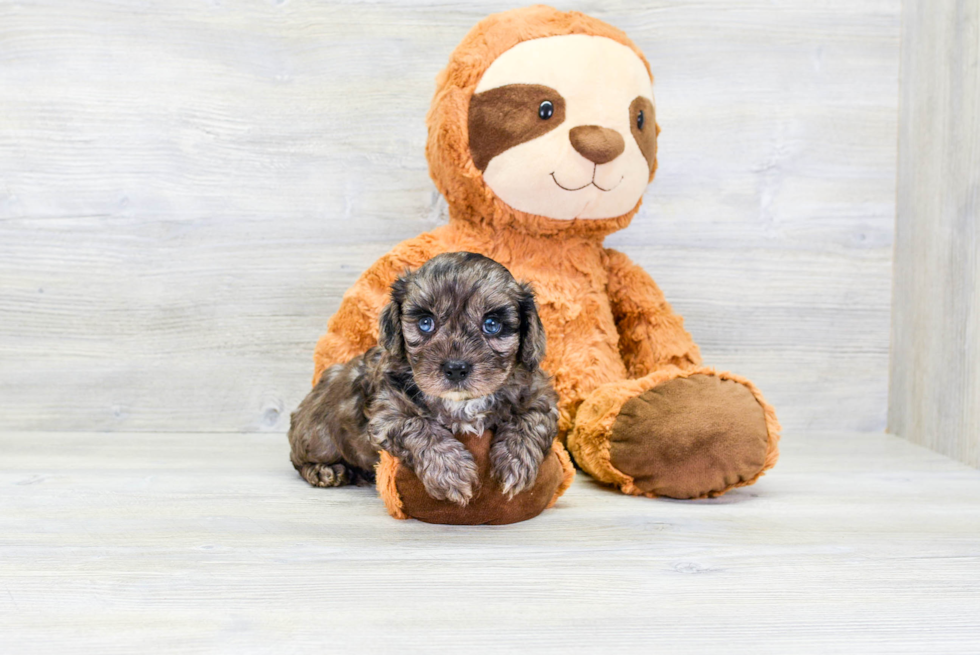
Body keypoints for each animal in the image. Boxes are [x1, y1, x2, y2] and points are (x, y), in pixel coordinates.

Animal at [288, 252, 556, 508]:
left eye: (492, 324)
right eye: (426, 323)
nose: (455, 368)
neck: (461, 402)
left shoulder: (539, 393)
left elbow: (531, 419)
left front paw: (516, 460)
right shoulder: (388, 410)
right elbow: (419, 425)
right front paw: (451, 471)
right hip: (318, 438)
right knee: (299, 461)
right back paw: (324, 471)